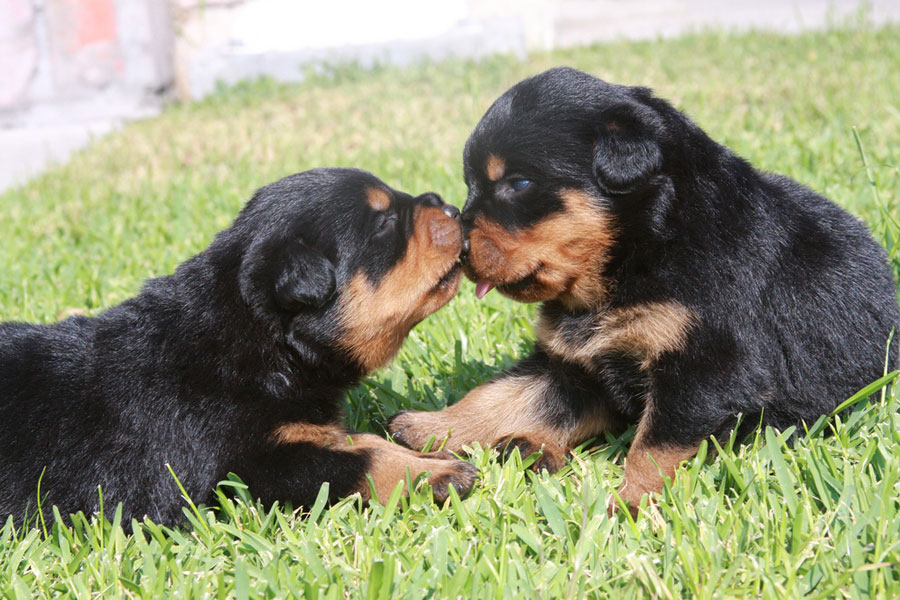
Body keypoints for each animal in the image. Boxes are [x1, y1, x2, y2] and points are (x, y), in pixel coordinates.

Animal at [0, 168, 478, 524]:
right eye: (384, 223)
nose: (452, 208)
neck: (259, 339)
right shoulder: (234, 470)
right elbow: (357, 460)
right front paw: (440, 472)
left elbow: (361, 440)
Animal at [388, 67, 900, 516]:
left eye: (520, 183)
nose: (458, 246)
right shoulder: (573, 363)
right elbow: (500, 393)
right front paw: (432, 426)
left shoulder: (706, 367)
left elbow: (654, 445)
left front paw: (631, 502)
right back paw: (530, 447)